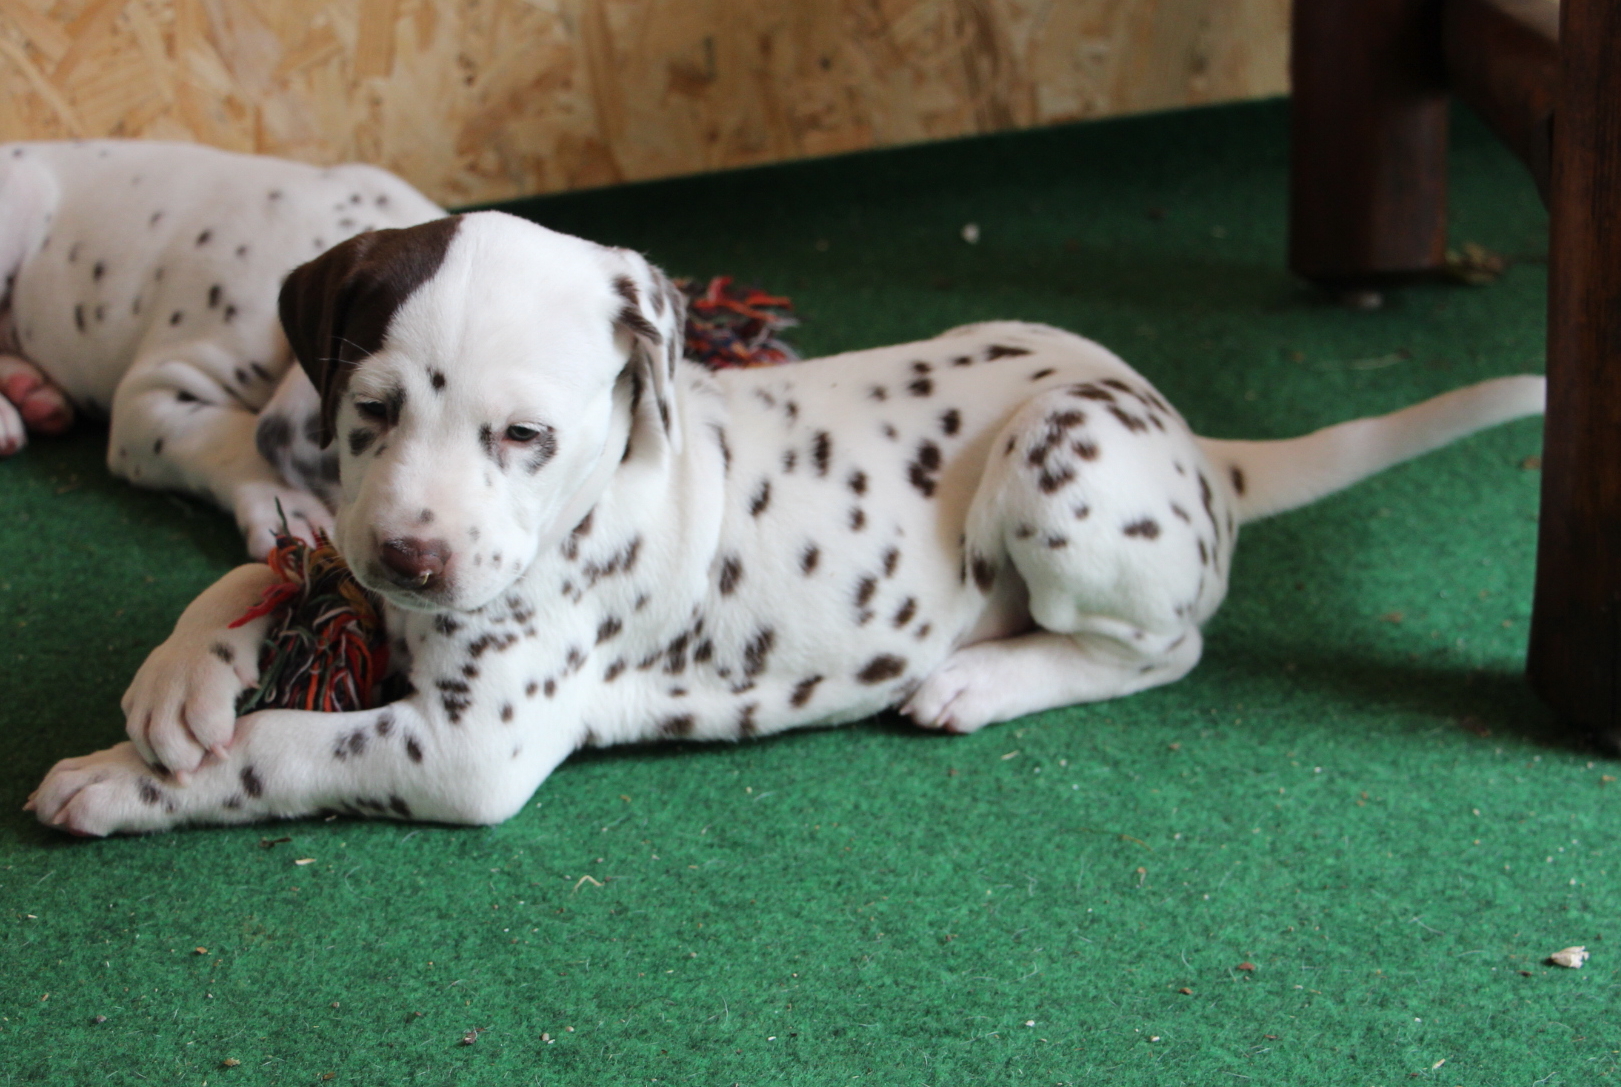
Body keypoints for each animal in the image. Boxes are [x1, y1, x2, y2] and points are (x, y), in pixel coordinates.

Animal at [26, 212, 1546, 835]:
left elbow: (285, 748)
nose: (412, 555)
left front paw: (121, 779)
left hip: (1060, 462)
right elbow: (262, 580)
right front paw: (172, 687)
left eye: (526, 435)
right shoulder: (352, 557)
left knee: (1163, 648)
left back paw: (978, 677)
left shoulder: (470, 744)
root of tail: (1194, 438)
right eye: (371, 407)